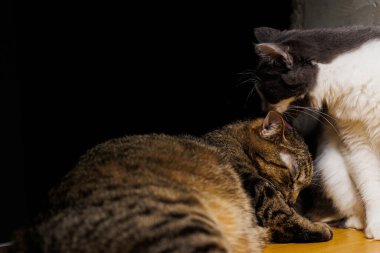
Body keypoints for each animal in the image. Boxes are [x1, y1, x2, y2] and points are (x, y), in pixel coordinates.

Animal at [11, 112, 332, 253]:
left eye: (302, 187)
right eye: (292, 175)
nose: (293, 198)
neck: (230, 140)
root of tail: (35, 234)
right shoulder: (258, 187)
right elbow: (281, 212)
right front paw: (316, 226)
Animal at [252, 26, 380, 241]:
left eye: (266, 91)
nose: (261, 112)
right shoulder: (356, 143)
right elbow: (371, 186)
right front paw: (376, 225)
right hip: (334, 171)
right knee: (354, 211)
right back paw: (357, 223)